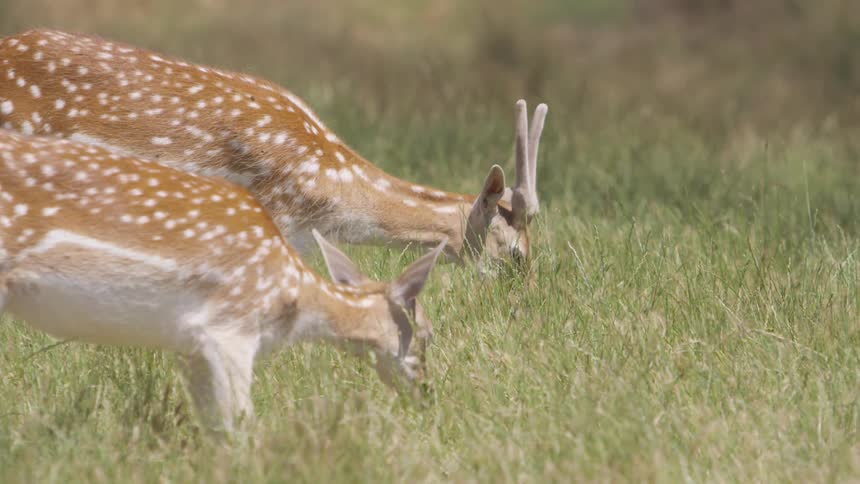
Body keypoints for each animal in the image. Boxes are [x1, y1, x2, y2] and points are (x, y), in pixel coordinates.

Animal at [0, 129, 445, 431]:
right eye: (426, 333)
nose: (427, 392)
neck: (293, 301)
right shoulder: (230, 327)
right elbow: (241, 424)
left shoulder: (190, 346)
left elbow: (213, 426)